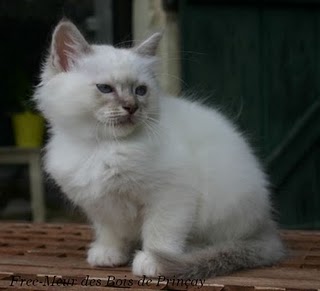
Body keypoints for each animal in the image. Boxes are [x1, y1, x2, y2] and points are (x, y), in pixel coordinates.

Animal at [35, 19, 284, 280]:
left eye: (140, 91)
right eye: (105, 88)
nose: (131, 107)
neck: (100, 146)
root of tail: (266, 225)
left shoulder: (171, 195)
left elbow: (160, 232)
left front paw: (153, 260)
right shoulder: (101, 205)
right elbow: (110, 232)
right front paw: (108, 254)